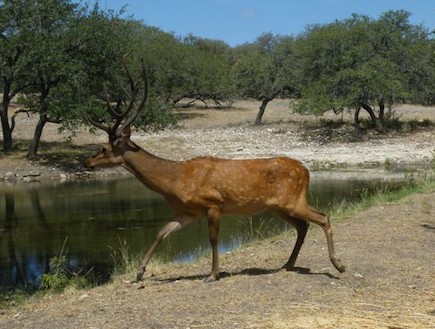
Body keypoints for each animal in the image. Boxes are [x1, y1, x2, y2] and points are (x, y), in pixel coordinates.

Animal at [83, 59, 346, 282]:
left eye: (103, 148)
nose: (87, 163)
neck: (174, 180)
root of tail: (306, 170)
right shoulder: (187, 212)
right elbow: (161, 232)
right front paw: (139, 272)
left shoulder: (213, 203)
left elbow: (213, 239)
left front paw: (212, 274)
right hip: (277, 206)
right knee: (303, 226)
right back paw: (287, 264)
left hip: (292, 200)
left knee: (323, 217)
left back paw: (338, 265)